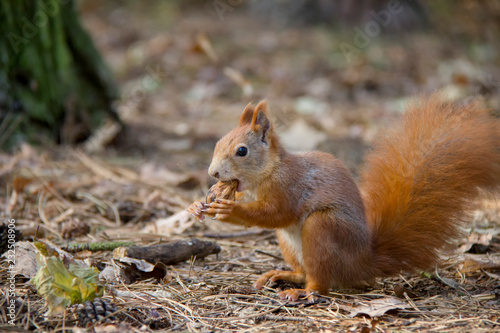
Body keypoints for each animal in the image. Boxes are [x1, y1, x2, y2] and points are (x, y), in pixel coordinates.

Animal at [187, 93, 500, 300]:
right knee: (304, 271)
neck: (269, 172)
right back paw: (283, 276)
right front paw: (196, 204)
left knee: (321, 283)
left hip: (323, 228)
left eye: (242, 151)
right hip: (288, 243)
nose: (213, 173)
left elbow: (277, 213)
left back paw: (303, 293)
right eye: (217, 143)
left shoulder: (289, 187)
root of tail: (362, 261)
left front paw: (229, 210)